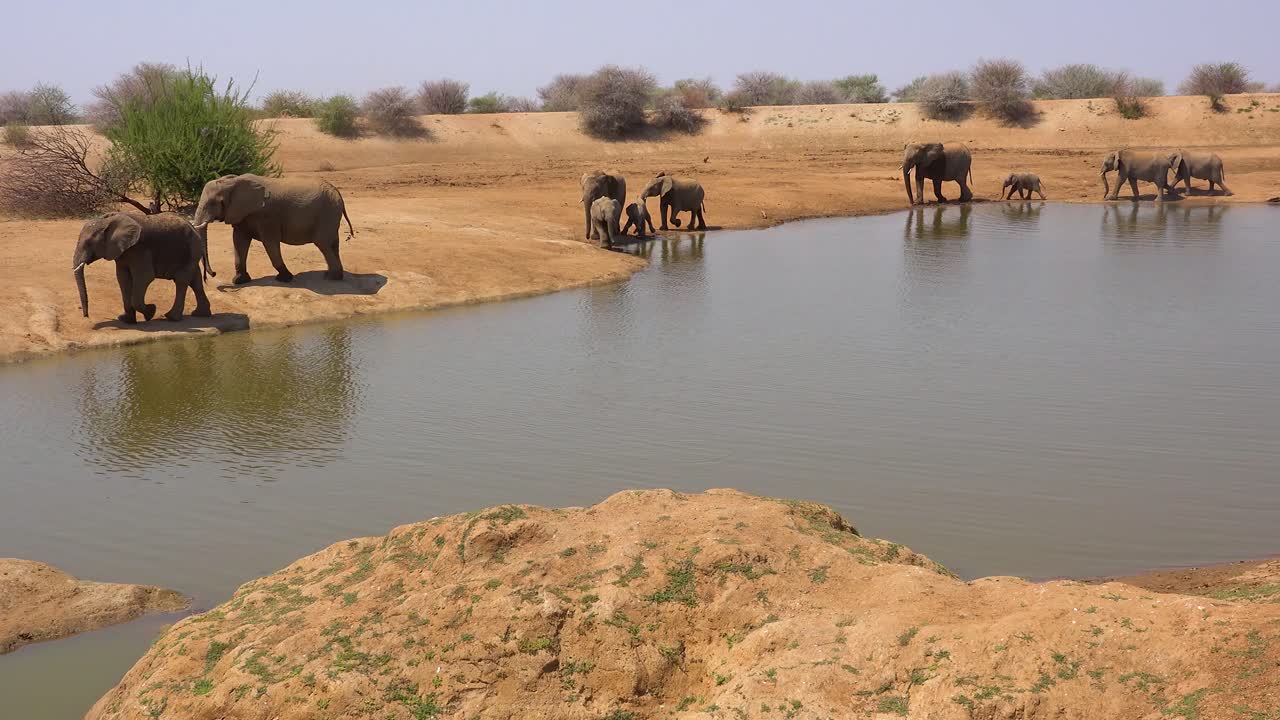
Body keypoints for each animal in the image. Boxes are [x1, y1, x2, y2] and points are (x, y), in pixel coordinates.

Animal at [72, 212, 215, 324]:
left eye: (88, 243)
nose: (86, 316)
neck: (107, 221)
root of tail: (194, 229)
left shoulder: (140, 250)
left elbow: (144, 278)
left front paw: (151, 312)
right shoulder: (122, 252)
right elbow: (123, 279)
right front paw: (127, 320)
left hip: (192, 247)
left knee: (181, 280)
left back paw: (172, 317)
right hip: (191, 252)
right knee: (195, 280)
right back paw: (200, 314)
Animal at [193, 174, 354, 285]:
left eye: (213, 203)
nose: (213, 274)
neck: (234, 181)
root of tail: (338, 193)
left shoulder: (267, 216)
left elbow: (269, 242)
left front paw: (285, 278)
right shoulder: (242, 214)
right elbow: (239, 240)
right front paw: (239, 281)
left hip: (327, 213)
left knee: (323, 243)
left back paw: (331, 278)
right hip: (331, 214)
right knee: (333, 244)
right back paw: (333, 276)